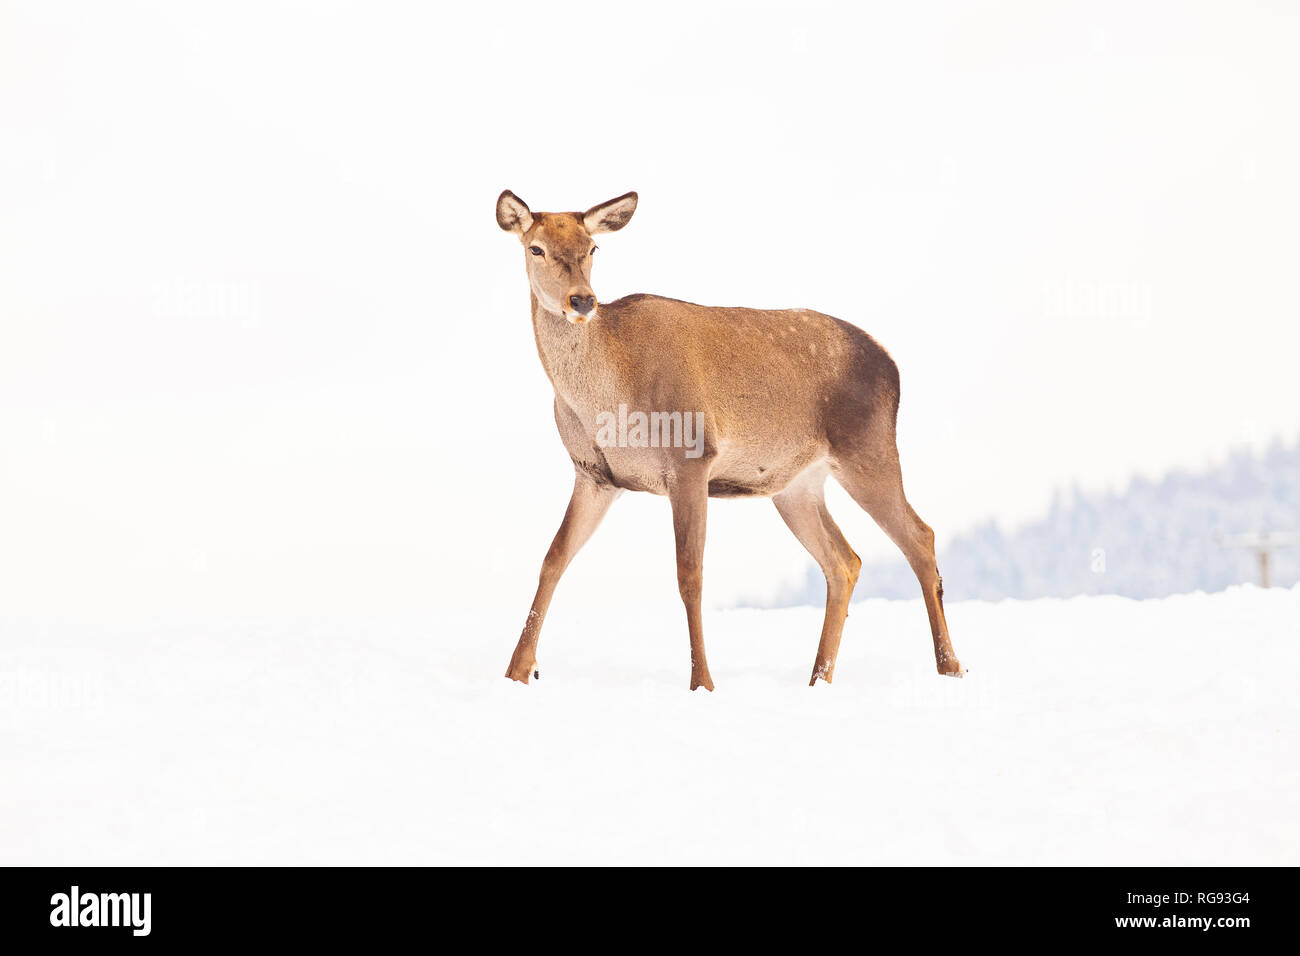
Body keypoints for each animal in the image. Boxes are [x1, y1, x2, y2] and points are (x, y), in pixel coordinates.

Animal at [496, 187, 967, 691]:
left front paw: (702, 681)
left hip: (868, 448)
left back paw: (949, 666)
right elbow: (553, 558)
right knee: (844, 560)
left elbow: (690, 574)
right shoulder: (594, 474)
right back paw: (818, 677)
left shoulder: (691, 457)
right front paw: (518, 671)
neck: (602, 403)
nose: (583, 300)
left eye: (593, 248)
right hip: (796, 485)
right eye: (536, 248)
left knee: (920, 537)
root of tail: (893, 364)